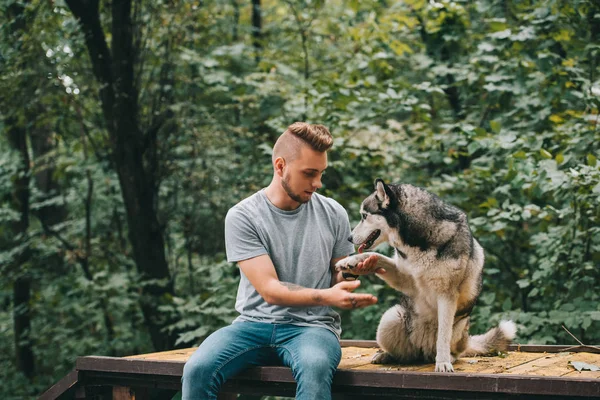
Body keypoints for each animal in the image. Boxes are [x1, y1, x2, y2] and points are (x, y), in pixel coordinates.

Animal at [336, 178, 516, 372]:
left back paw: (448, 358)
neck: (420, 237)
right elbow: (376, 257)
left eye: (364, 216)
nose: (349, 238)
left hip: (456, 331)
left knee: (447, 348)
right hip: (390, 318)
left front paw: (443, 363)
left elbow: (443, 336)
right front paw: (352, 262)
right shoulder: (405, 279)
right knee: (406, 356)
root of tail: (423, 350)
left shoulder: (446, 295)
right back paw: (387, 355)